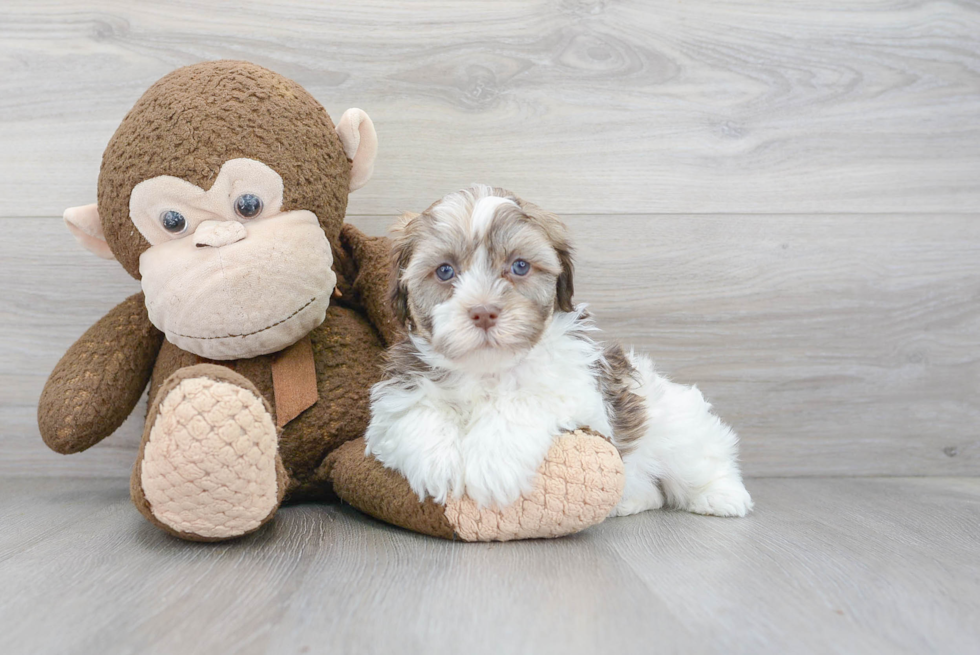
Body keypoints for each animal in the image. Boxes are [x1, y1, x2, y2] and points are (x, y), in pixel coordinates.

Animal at [364, 184, 756, 516]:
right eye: (445, 271)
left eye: (520, 266)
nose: (484, 311)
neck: (488, 369)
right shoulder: (400, 391)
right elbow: (416, 410)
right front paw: (438, 464)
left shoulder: (576, 392)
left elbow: (520, 402)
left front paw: (492, 467)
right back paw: (631, 501)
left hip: (678, 429)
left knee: (699, 463)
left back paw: (722, 496)